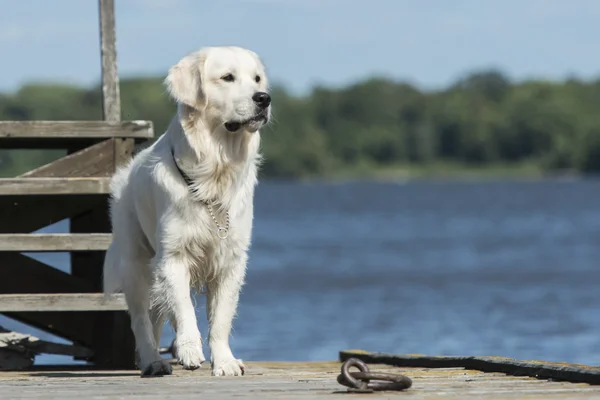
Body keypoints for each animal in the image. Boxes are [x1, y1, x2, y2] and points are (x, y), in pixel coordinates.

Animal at [102, 45, 270, 376]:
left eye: (257, 78)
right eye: (227, 77)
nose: (264, 98)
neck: (214, 173)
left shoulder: (231, 260)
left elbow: (220, 320)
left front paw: (225, 361)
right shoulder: (172, 256)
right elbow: (183, 308)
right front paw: (190, 349)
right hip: (135, 263)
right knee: (141, 319)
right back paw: (152, 361)